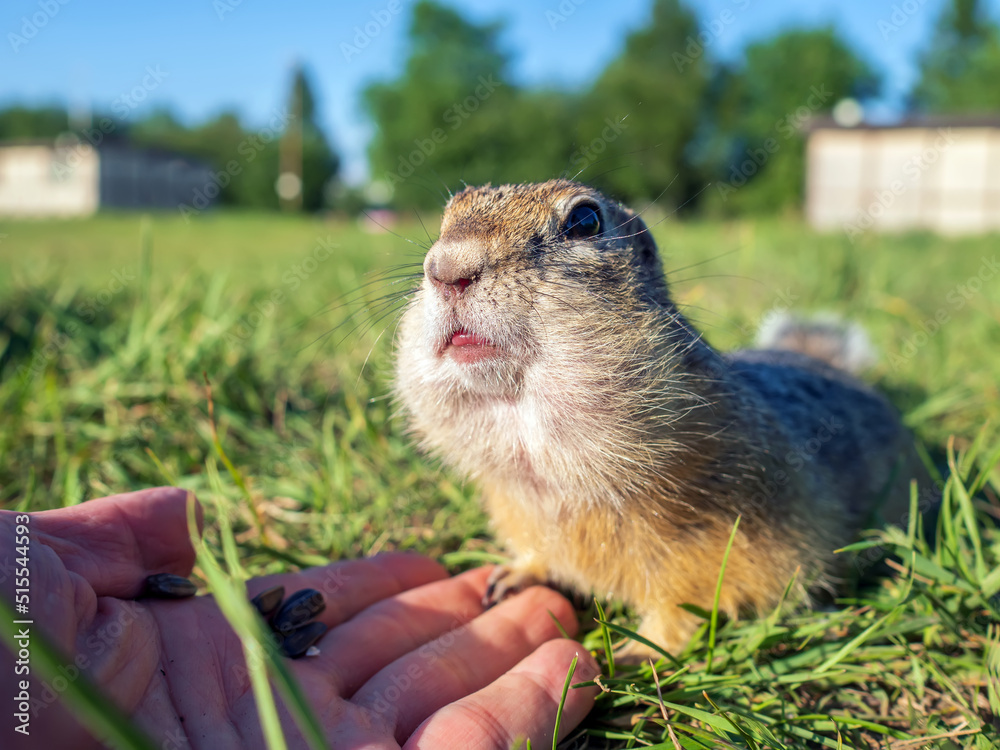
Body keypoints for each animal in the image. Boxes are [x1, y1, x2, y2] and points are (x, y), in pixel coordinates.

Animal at [394, 179, 932, 656]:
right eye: (447, 212)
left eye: (585, 220)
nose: (446, 268)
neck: (538, 459)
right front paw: (513, 575)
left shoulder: (721, 547)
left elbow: (685, 610)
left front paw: (635, 657)